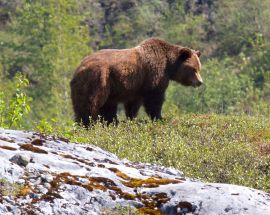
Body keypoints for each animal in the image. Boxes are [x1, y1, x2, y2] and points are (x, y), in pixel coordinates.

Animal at [70, 37, 202, 127]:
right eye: (193, 69)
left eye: (199, 68)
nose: (200, 82)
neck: (169, 65)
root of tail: (78, 69)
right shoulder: (154, 74)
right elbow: (154, 98)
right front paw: (160, 118)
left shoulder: (136, 87)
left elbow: (133, 104)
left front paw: (131, 118)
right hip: (99, 79)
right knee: (92, 103)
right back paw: (88, 123)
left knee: (103, 105)